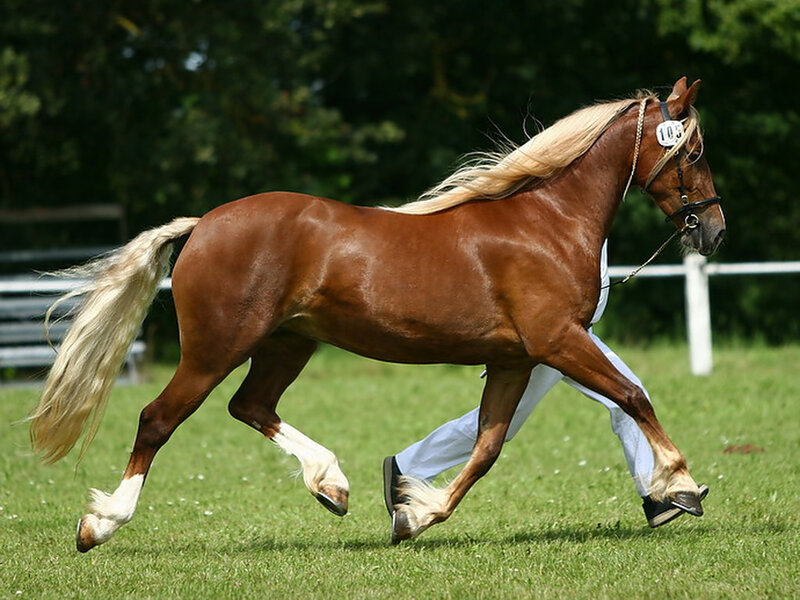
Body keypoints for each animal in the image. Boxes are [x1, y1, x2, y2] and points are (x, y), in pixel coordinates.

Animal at [29, 77, 725, 551]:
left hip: (286, 344)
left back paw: (331, 485)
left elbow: (487, 447)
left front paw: (414, 513)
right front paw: (679, 485)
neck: (546, 223)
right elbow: (633, 396)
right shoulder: (559, 341)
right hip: (215, 348)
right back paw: (101, 524)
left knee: (250, 406)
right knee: (158, 419)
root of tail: (203, 224)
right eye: (692, 153)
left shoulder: (514, 360)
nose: (714, 231)